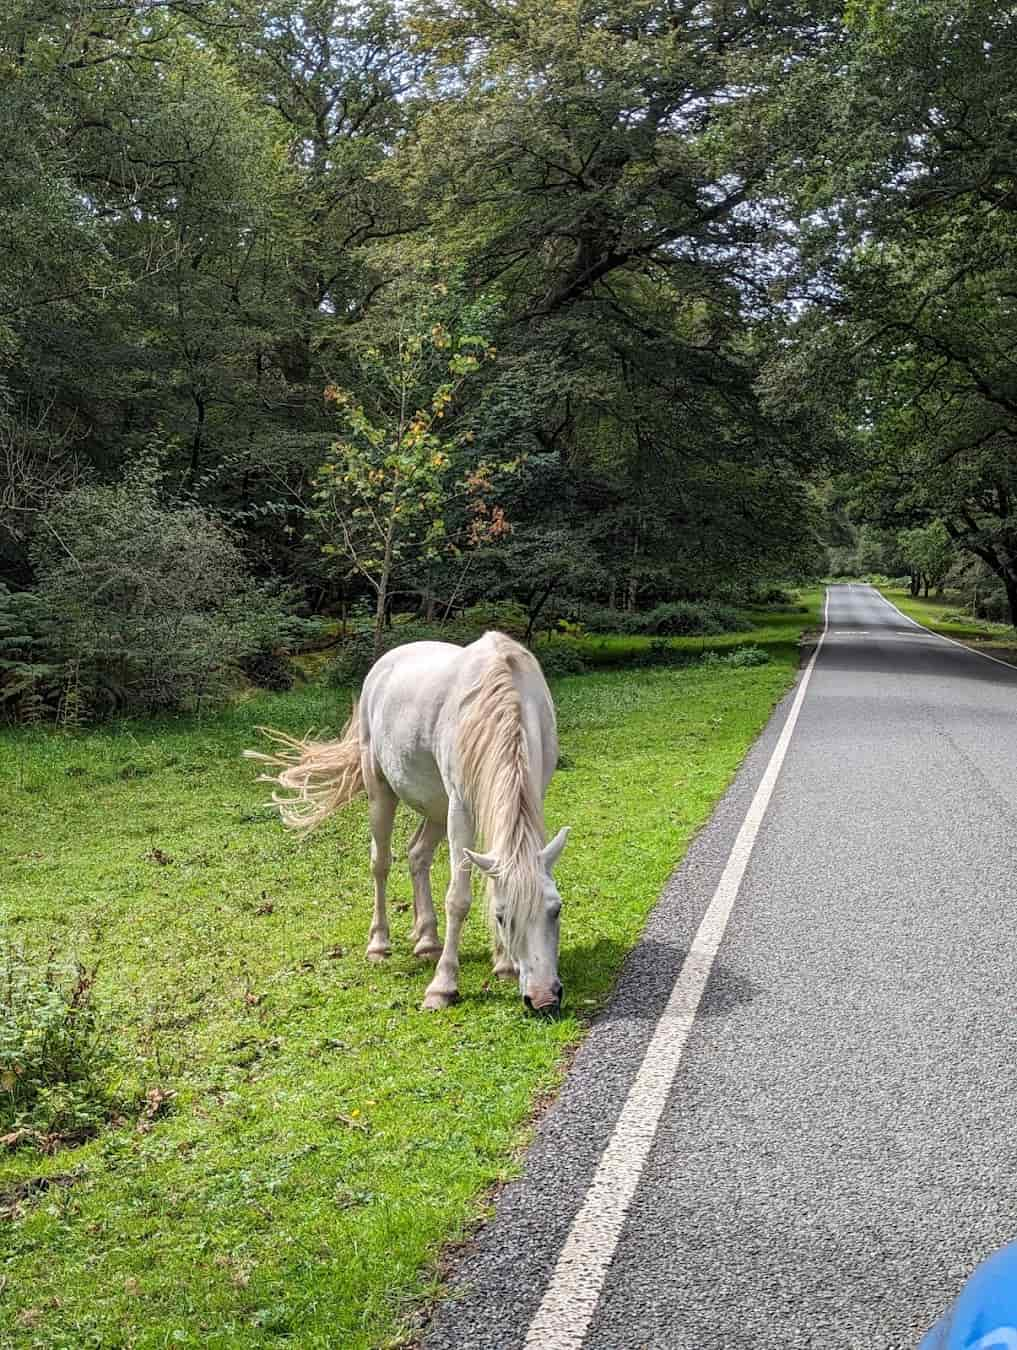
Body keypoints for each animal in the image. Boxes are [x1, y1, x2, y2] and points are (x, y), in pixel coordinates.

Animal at [243, 631, 567, 1015]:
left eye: (556, 910)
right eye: (503, 917)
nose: (544, 998)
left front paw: (503, 964)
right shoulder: (462, 810)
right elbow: (459, 898)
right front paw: (443, 986)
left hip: (436, 808)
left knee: (417, 855)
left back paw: (426, 940)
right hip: (382, 791)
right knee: (381, 863)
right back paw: (380, 945)